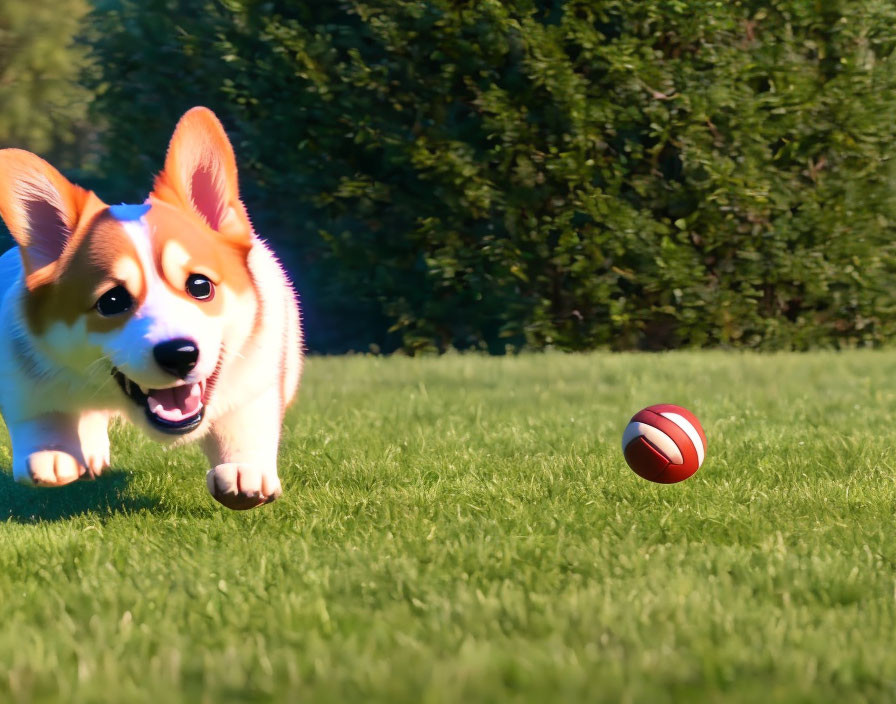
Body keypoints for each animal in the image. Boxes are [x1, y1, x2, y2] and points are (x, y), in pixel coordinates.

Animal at [0, 107, 302, 508]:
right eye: (112, 301)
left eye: (200, 286)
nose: (179, 355)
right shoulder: (22, 369)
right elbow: (42, 413)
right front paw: (51, 452)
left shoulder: (256, 376)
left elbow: (243, 424)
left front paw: (243, 470)